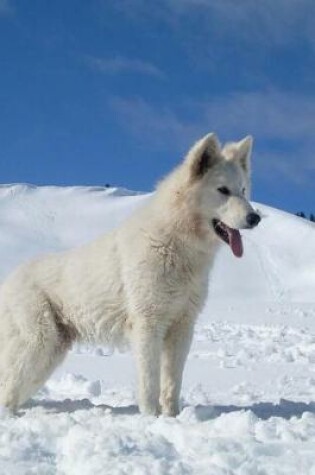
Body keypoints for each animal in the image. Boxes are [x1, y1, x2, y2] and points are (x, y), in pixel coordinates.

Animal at [0, 133, 260, 416]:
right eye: (223, 190)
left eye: (243, 190)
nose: (255, 218)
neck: (174, 244)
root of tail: (8, 280)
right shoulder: (148, 326)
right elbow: (149, 384)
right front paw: (151, 418)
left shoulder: (182, 328)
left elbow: (172, 384)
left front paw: (172, 417)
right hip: (38, 345)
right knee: (8, 386)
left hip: (49, 355)